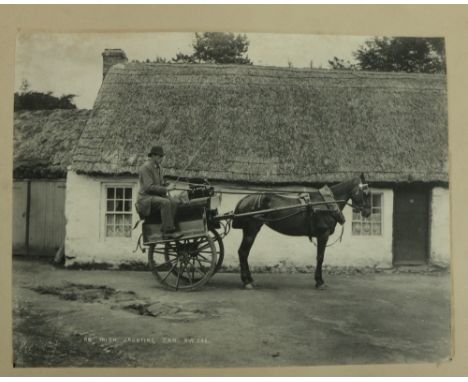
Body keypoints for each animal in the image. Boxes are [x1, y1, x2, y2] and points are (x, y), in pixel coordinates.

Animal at [232, 174, 372, 290]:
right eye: (365, 193)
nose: (368, 212)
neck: (327, 203)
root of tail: (245, 199)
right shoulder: (323, 234)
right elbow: (320, 257)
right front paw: (319, 282)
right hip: (252, 229)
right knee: (243, 252)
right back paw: (246, 282)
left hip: (249, 229)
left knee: (244, 253)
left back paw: (250, 280)